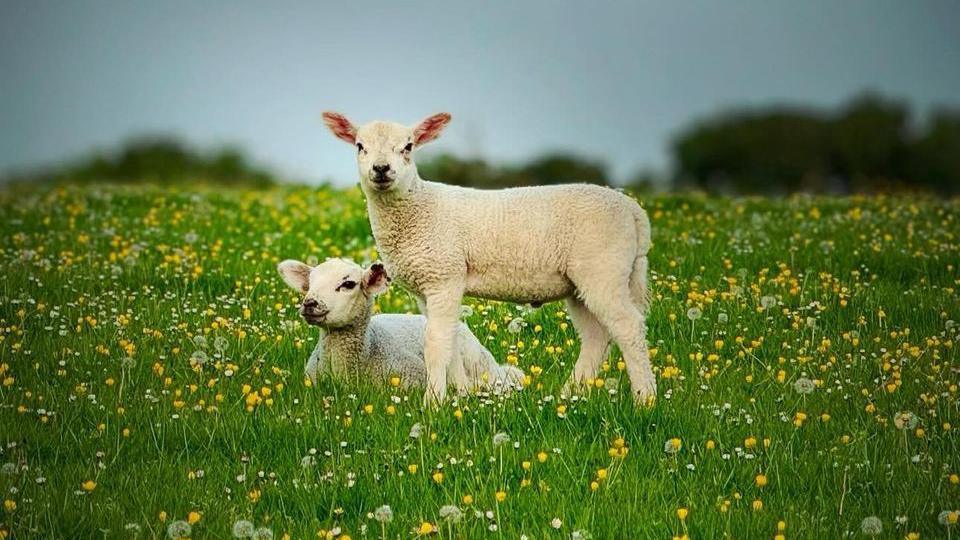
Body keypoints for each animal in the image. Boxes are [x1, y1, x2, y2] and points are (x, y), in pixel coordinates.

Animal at [320, 110, 652, 404]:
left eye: (409, 146)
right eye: (359, 146)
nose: (381, 169)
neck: (420, 208)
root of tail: (634, 211)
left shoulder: (444, 276)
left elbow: (436, 344)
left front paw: (433, 402)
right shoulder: (426, 288)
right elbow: (451, 342)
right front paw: (461, 394)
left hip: (602, 268)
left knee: (629, 327)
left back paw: (645, 400)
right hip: (579, 283)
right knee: (596, 337)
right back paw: (570, 394)